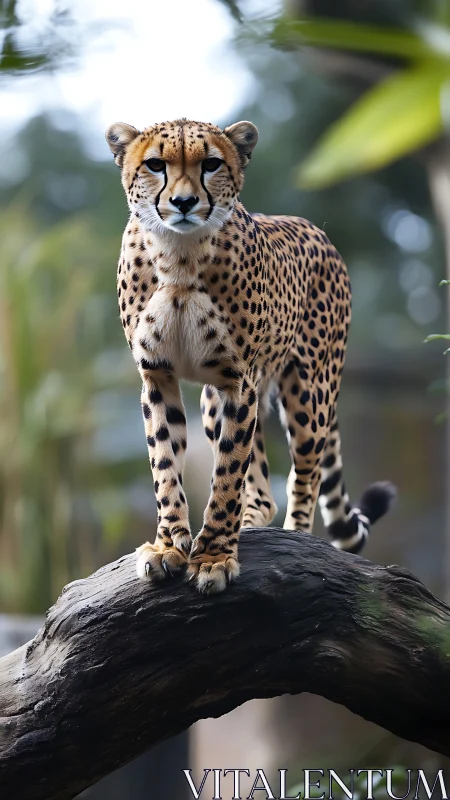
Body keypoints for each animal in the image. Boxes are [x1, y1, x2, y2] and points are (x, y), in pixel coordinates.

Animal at [106, 116, 395, 595]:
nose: (183, 202)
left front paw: (213, 557)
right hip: (214, 402)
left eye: (211, 164)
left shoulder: (238, 380)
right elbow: (165, 463)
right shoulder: (159, 375)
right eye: (155, 164)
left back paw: (296, 537)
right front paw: (168, 545)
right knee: (261, 491)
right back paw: (247, 523)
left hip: (308, 393)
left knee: (305, 472)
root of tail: (318, 231)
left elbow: (227, 471)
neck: (178, 255)